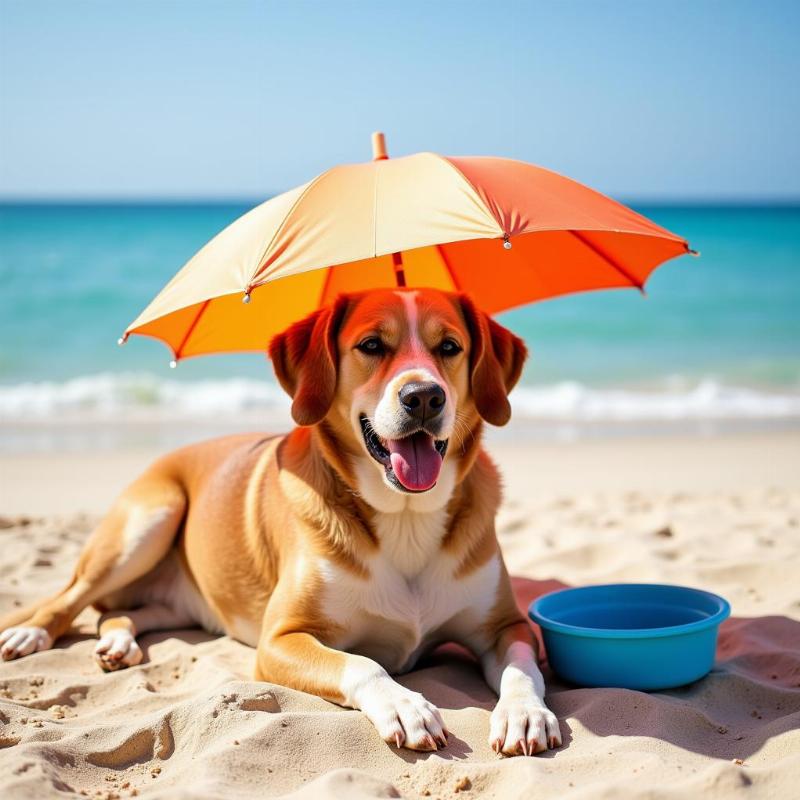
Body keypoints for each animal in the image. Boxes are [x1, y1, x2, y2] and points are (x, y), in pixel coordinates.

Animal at [0, 286, 564, 756]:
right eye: (372, 345)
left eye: (449, 347)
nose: (423, 396)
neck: (404, 517)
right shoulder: (281, 638)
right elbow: (364, 663)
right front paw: (405, 704)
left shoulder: (504, 625)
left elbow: (522, 667)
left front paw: (524, 713)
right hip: (147, 520)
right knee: (69, 599)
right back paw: (30, 636)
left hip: (175, 599)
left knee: (118, 612)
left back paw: (118, 641)